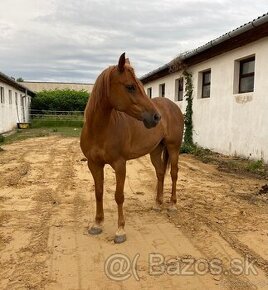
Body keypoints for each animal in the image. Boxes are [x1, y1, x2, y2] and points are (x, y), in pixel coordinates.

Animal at [79, 53, 184, 244]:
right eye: (130, 87)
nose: (156, 117)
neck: (100, 130)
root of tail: (171, 106)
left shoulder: (120, 164)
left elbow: (119, 196)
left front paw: (120, 230)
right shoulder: (93, 164)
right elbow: (98, 192)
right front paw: (97, 224)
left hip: (173, 148)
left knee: (173, 173)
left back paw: (172, 204)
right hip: (156, 150)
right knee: (160, 173)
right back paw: (157, 204)